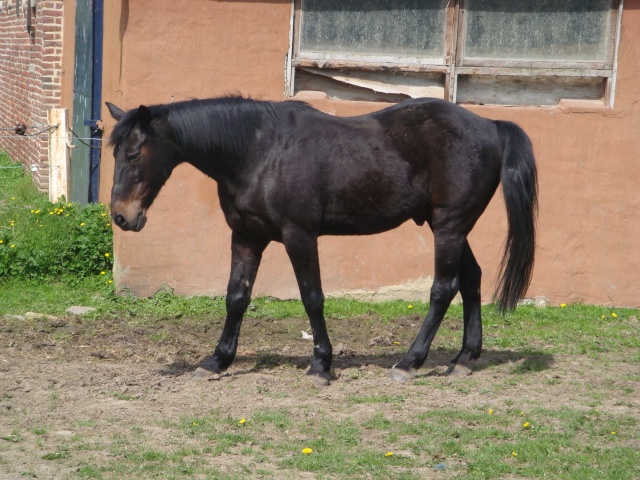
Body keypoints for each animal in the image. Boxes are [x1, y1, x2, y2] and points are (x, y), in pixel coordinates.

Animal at [106, 96, 536, 386]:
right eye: (116, 154)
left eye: (134, 153)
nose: (122, 216)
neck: (259, 152)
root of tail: (490, 125)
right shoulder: (246, 236)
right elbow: (236, 297)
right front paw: (217, 361)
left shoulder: (299, 235)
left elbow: (312, 296)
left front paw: (321, 365)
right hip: (449, 227)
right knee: (472, 279)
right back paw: (464, 358)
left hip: (448, 227)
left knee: (443, 289)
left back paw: (409, 363)